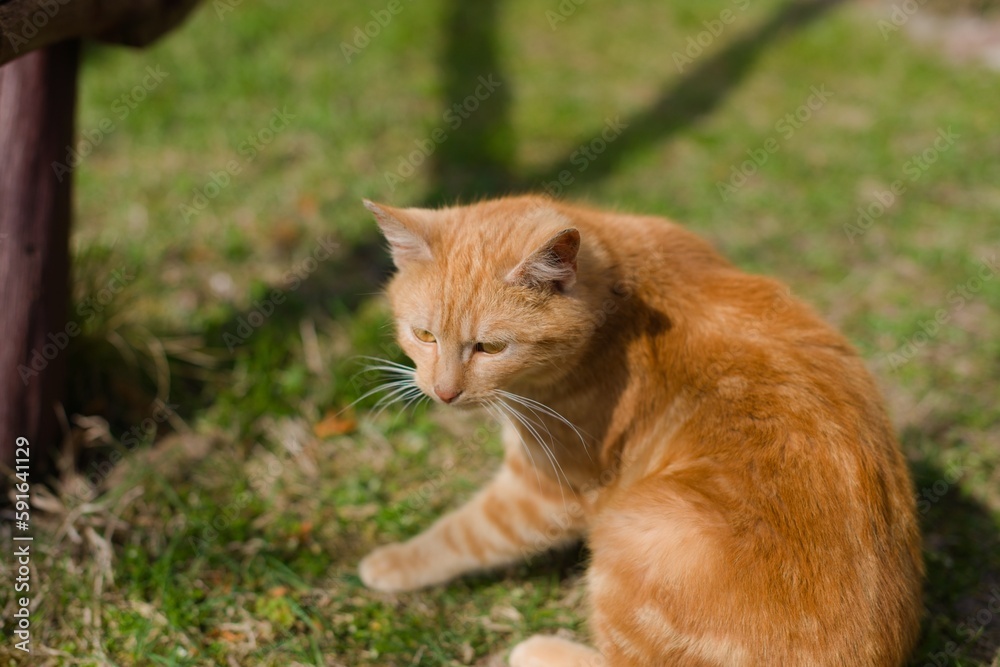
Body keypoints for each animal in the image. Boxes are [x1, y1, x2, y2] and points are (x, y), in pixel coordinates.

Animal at [358, 196, 920, 664]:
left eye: (490, 348)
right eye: (423, 334)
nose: (443, 393)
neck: (619, 299)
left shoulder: (543, 491)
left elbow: (464, 534)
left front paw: (391, 563)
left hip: (633, 528)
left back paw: (537, 649)